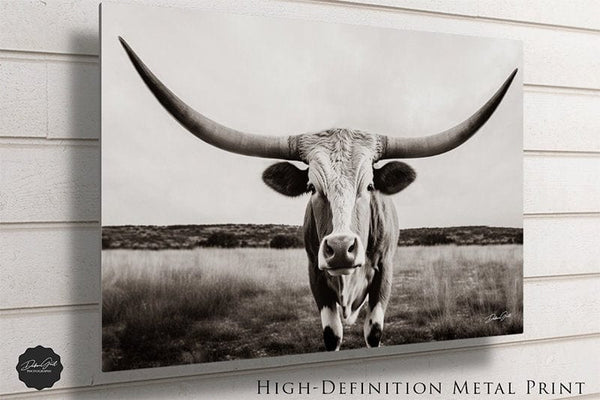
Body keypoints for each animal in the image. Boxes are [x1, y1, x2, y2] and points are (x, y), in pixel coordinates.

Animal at [119, 36, 516, 350]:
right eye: (312, 186)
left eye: (369, 186)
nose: (340, 248)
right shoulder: (314, 272)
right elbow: (331, 335)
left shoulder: (385, 272)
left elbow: (374, 332)